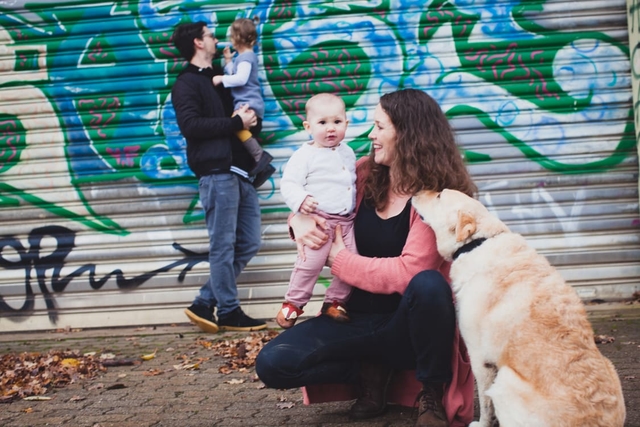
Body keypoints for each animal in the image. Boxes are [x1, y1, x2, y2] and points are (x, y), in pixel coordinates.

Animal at [410, 191, 624, 427]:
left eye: (439, 195)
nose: (415, 192)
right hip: (611, 367)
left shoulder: (480, 358)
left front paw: (482, 424)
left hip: (504, 381)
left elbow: (485, 402)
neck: (478, 242)